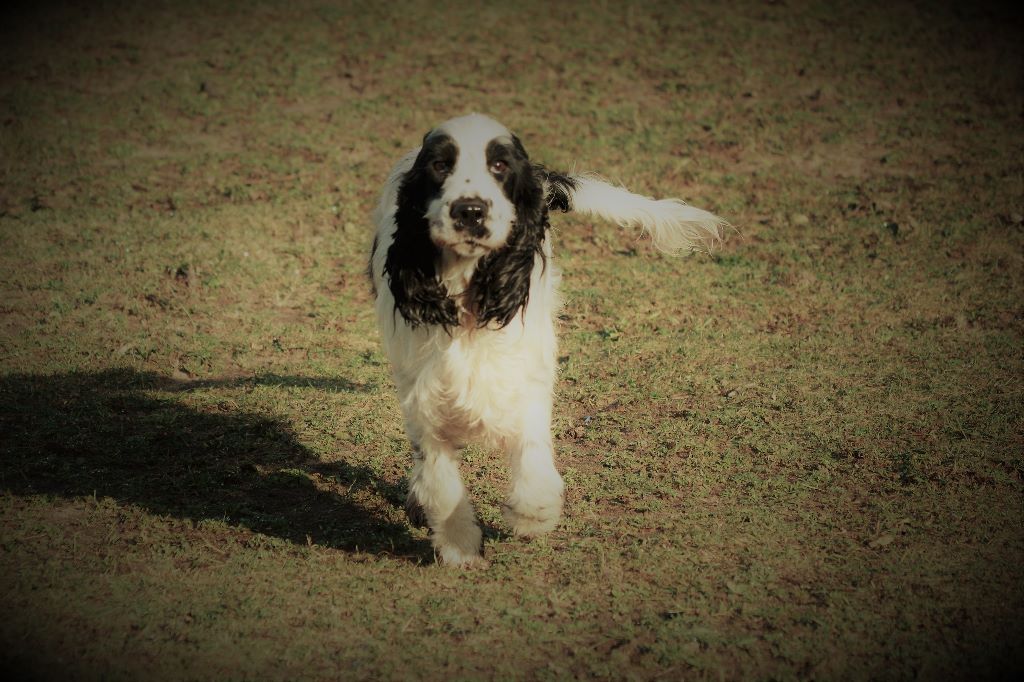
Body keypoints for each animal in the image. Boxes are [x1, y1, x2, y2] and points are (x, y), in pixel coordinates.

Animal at [370, 115, 729, 561]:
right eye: (439, 166)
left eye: (500, 166)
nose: (470, 211)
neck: (470, 300)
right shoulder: (422, 392)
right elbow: (439, 477)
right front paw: (459, 547)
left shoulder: (527, 370)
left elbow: (532, 446)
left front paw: (532, 515)